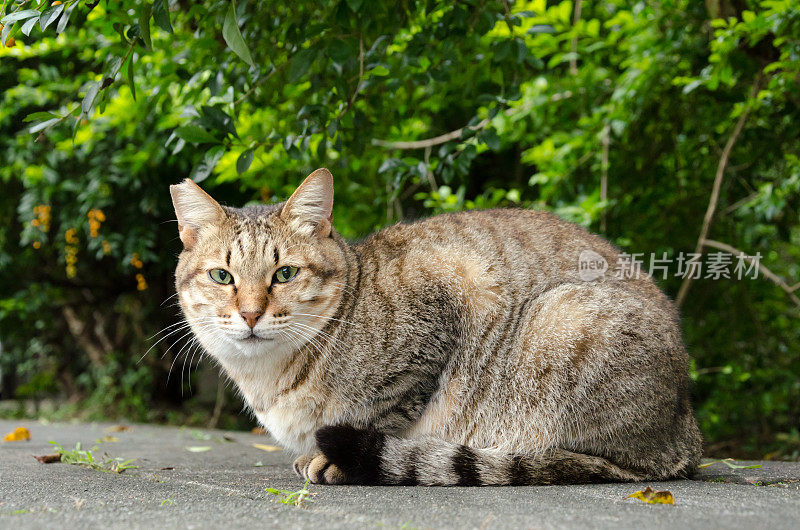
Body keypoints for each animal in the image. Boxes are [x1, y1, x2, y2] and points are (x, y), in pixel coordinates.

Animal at [169, 168, 700, 482]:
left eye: (284, 274)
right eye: (222, 276)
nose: (250, 313)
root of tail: (685, 436)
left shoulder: (441, 312)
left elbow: (380, 414)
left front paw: (330, 459)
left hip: (565, 323)